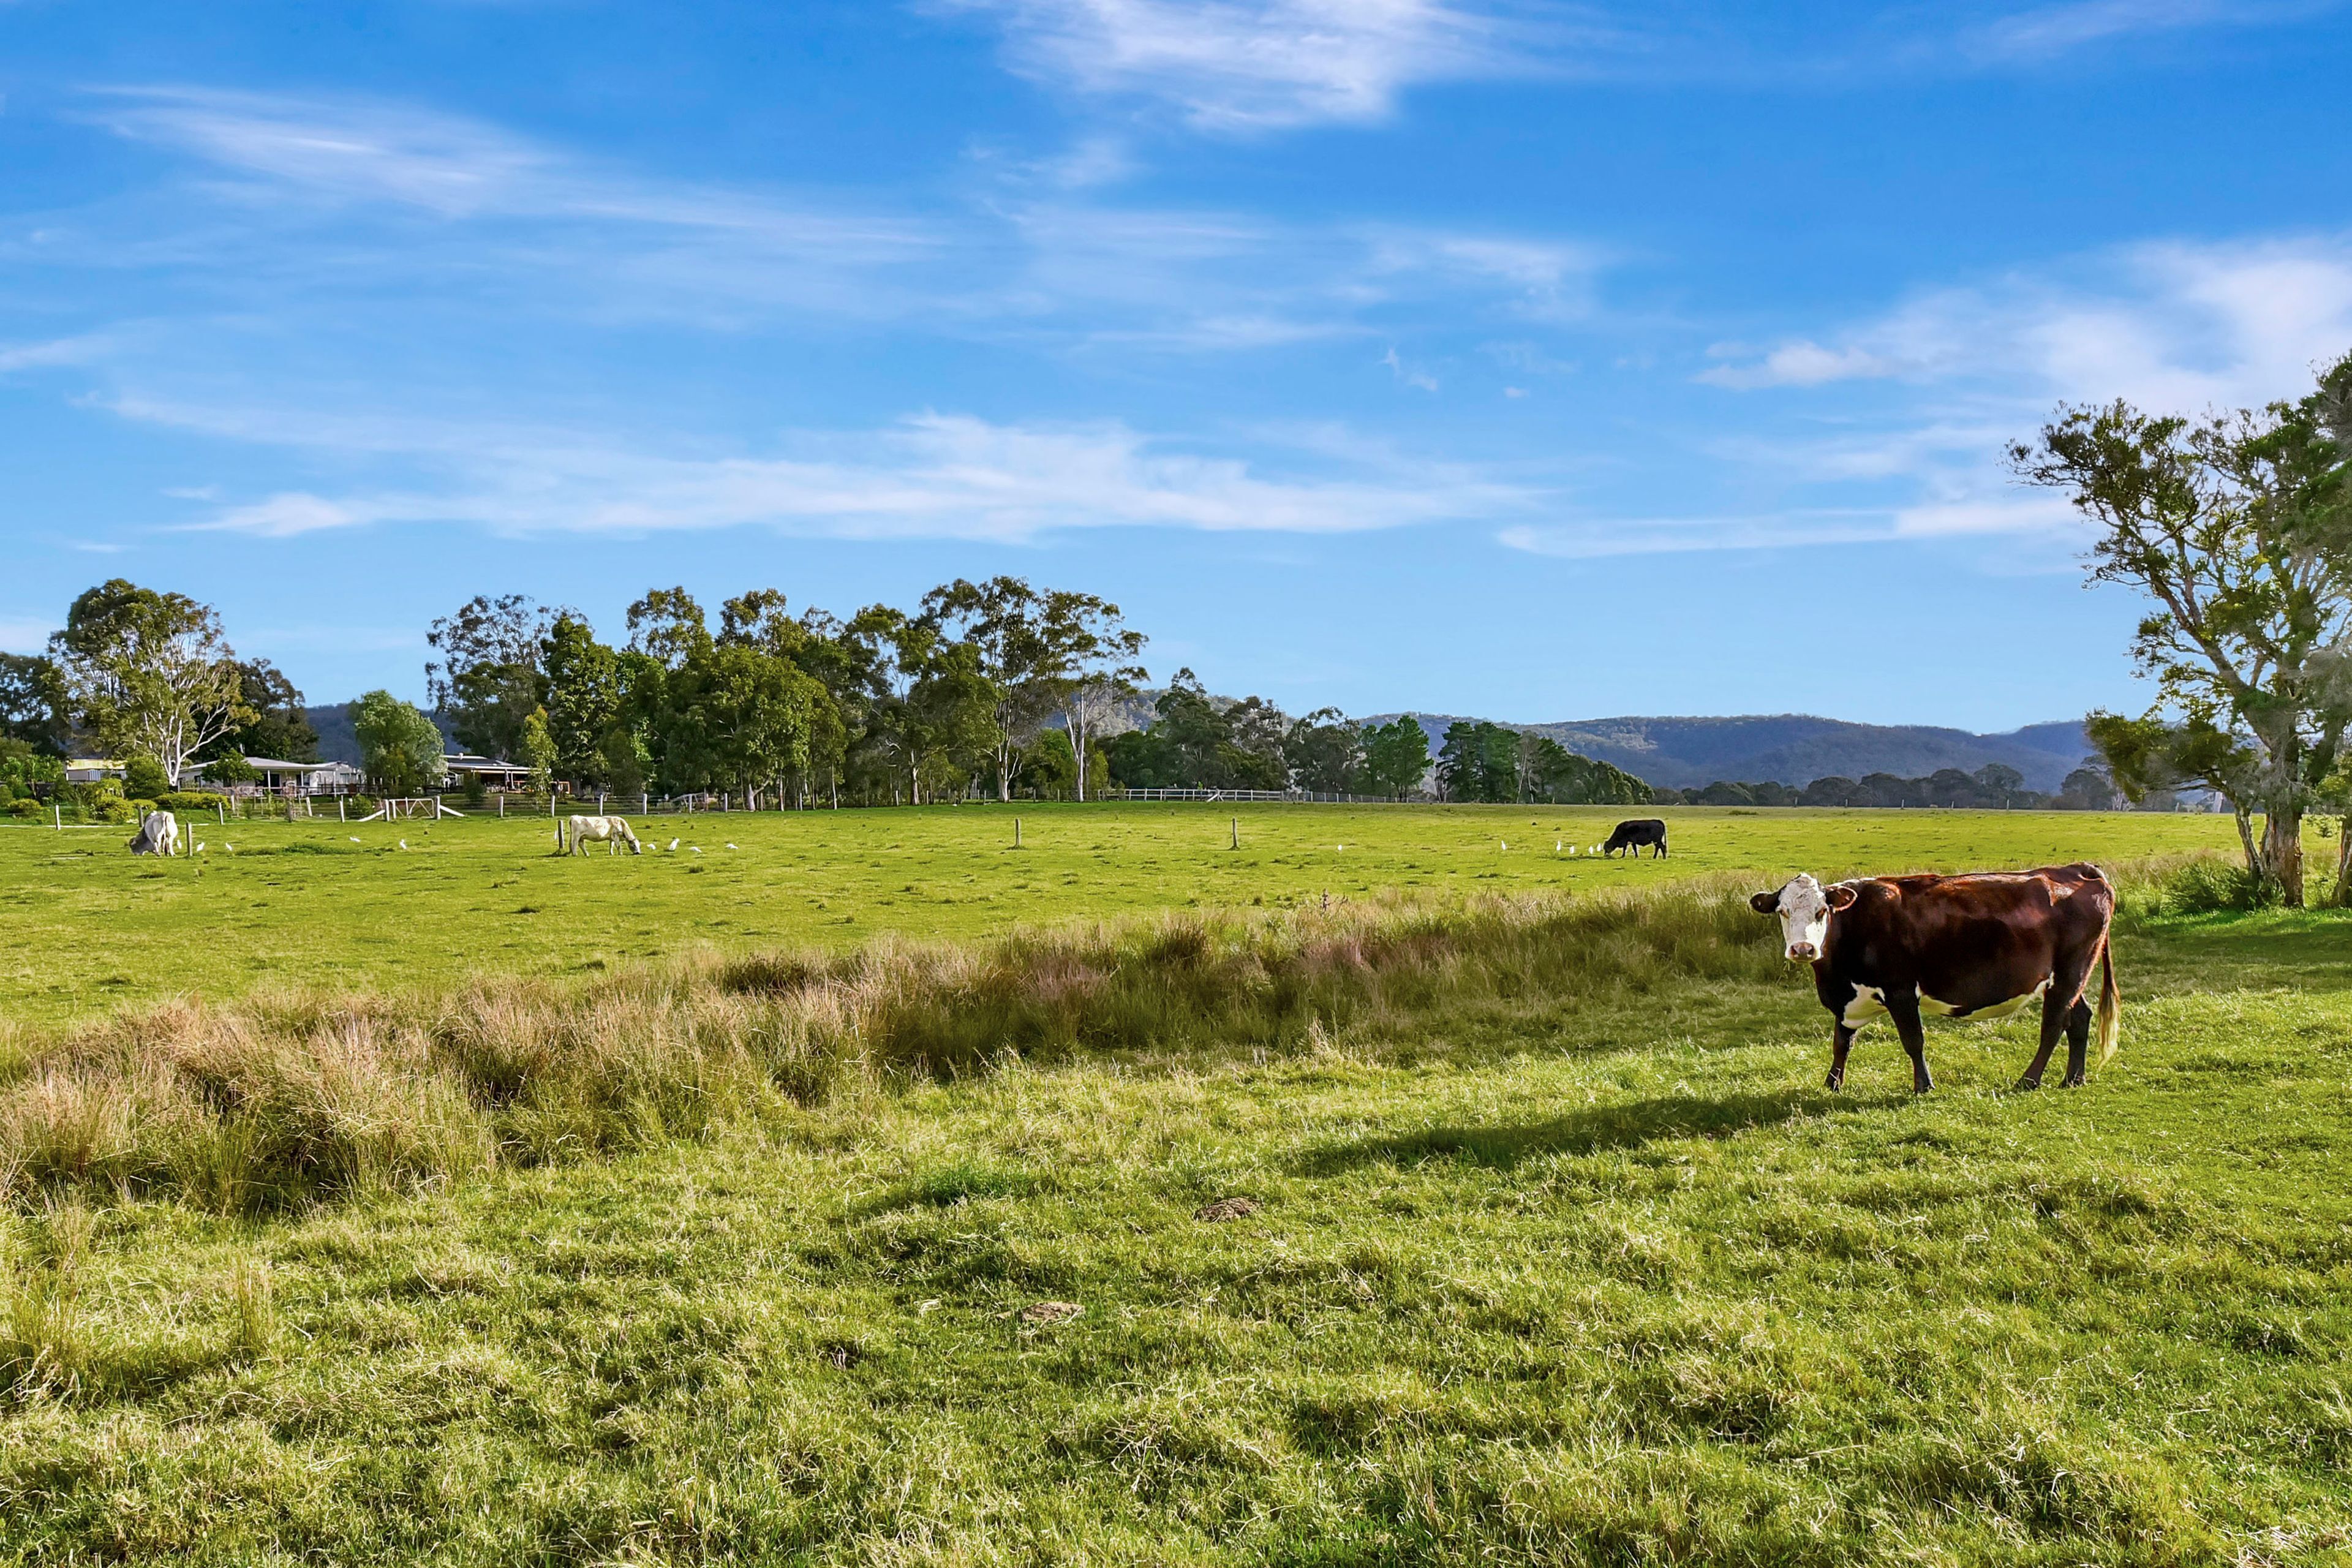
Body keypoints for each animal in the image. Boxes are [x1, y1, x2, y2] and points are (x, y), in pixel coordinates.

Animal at [564, 815, 643, 856]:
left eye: (639, 845)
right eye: (634, 845)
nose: (638, 853)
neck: (621, 824)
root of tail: (574, 817)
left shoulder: (612, 837)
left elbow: (611, 846)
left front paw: (611, 854)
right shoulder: (615, 836)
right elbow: (618, 846)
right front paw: (620, 854)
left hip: (581, 837)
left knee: (581, 844)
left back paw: (587, 854)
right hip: (576, 836)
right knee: (574, 844)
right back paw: (575, 854)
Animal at [1749, 863, 2119, 1094]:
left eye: (1821, 911)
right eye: (1783, 911)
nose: (1803, 949)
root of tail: (2077, 869)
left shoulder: (1900, 990)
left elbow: (1914, 1041)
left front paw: (1923, 1086)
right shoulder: (1847, 1001)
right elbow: (1842, 1043)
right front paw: (1832, 1085)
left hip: (2070, 971)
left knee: (2054, 1025)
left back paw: (2029, 1080)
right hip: (2071, 976)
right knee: (2079, 1018)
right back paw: (2073, 1079)